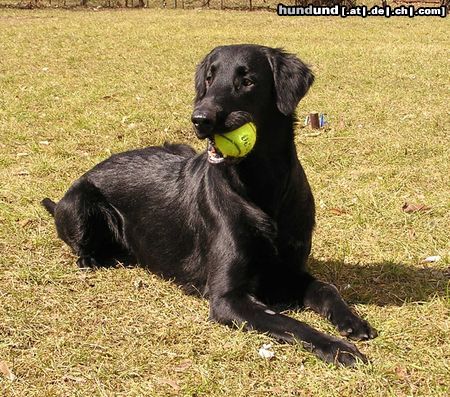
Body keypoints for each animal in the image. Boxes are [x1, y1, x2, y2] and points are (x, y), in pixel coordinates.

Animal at [44, 44, 376, 366]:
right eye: (209, 79)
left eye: (247, 80)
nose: (200, 119)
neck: (259, 186)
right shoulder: (227, 298)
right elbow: (291, 323)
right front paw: (336, 347)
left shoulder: (287, 271)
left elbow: (326, 288)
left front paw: (352, 321)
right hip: (79, 204)